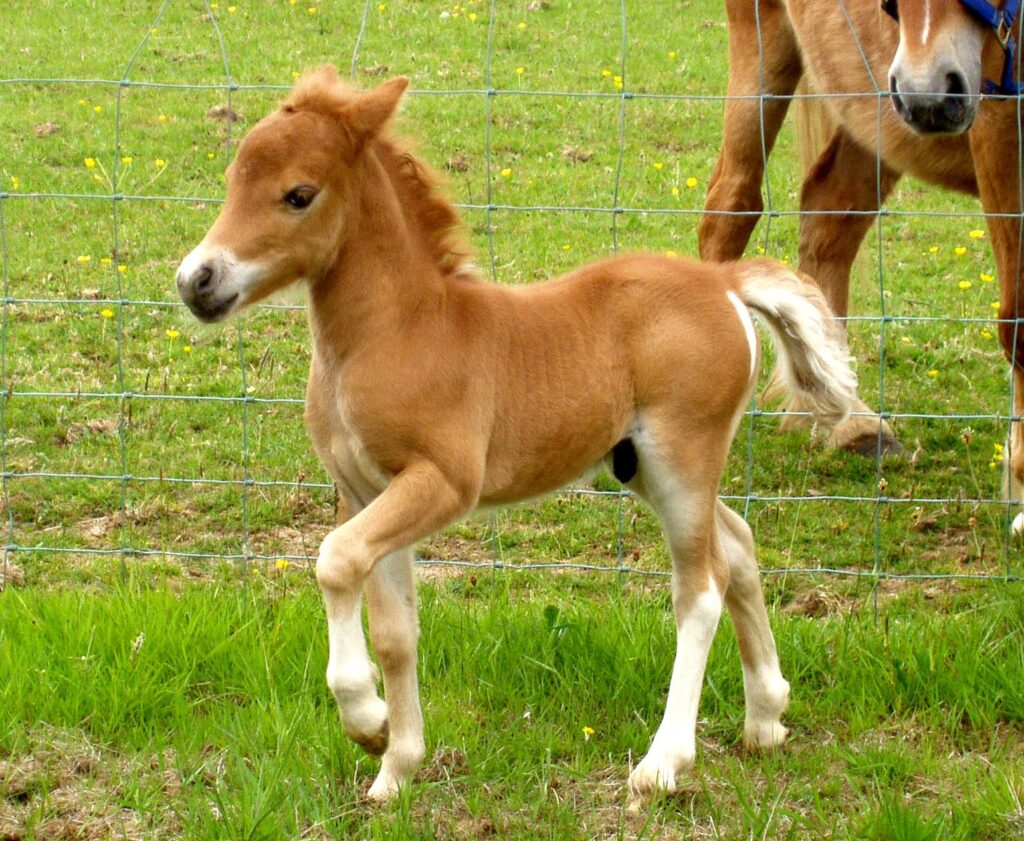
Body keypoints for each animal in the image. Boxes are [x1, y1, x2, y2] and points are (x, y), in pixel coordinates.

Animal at [174, 70, 856, 799]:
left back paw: (663, 762)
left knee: (701, 589)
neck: (399, 329)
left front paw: (366, 718)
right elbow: (395, 630)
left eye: (299, 194)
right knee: (740, 545)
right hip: (642, 465)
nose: (196, 281)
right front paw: (394, 764)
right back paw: (766, 717)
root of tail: (721, 280)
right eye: (232, 179)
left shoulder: (442, 482)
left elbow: (334, 560)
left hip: (682, 458)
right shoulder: (365, 493)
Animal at [700, 0, 1024, 528]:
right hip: (771, 52)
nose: (929, 93)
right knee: (731, 206)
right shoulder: (1001, 130)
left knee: (829, 215)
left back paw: (847, 420)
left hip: (870, 104)